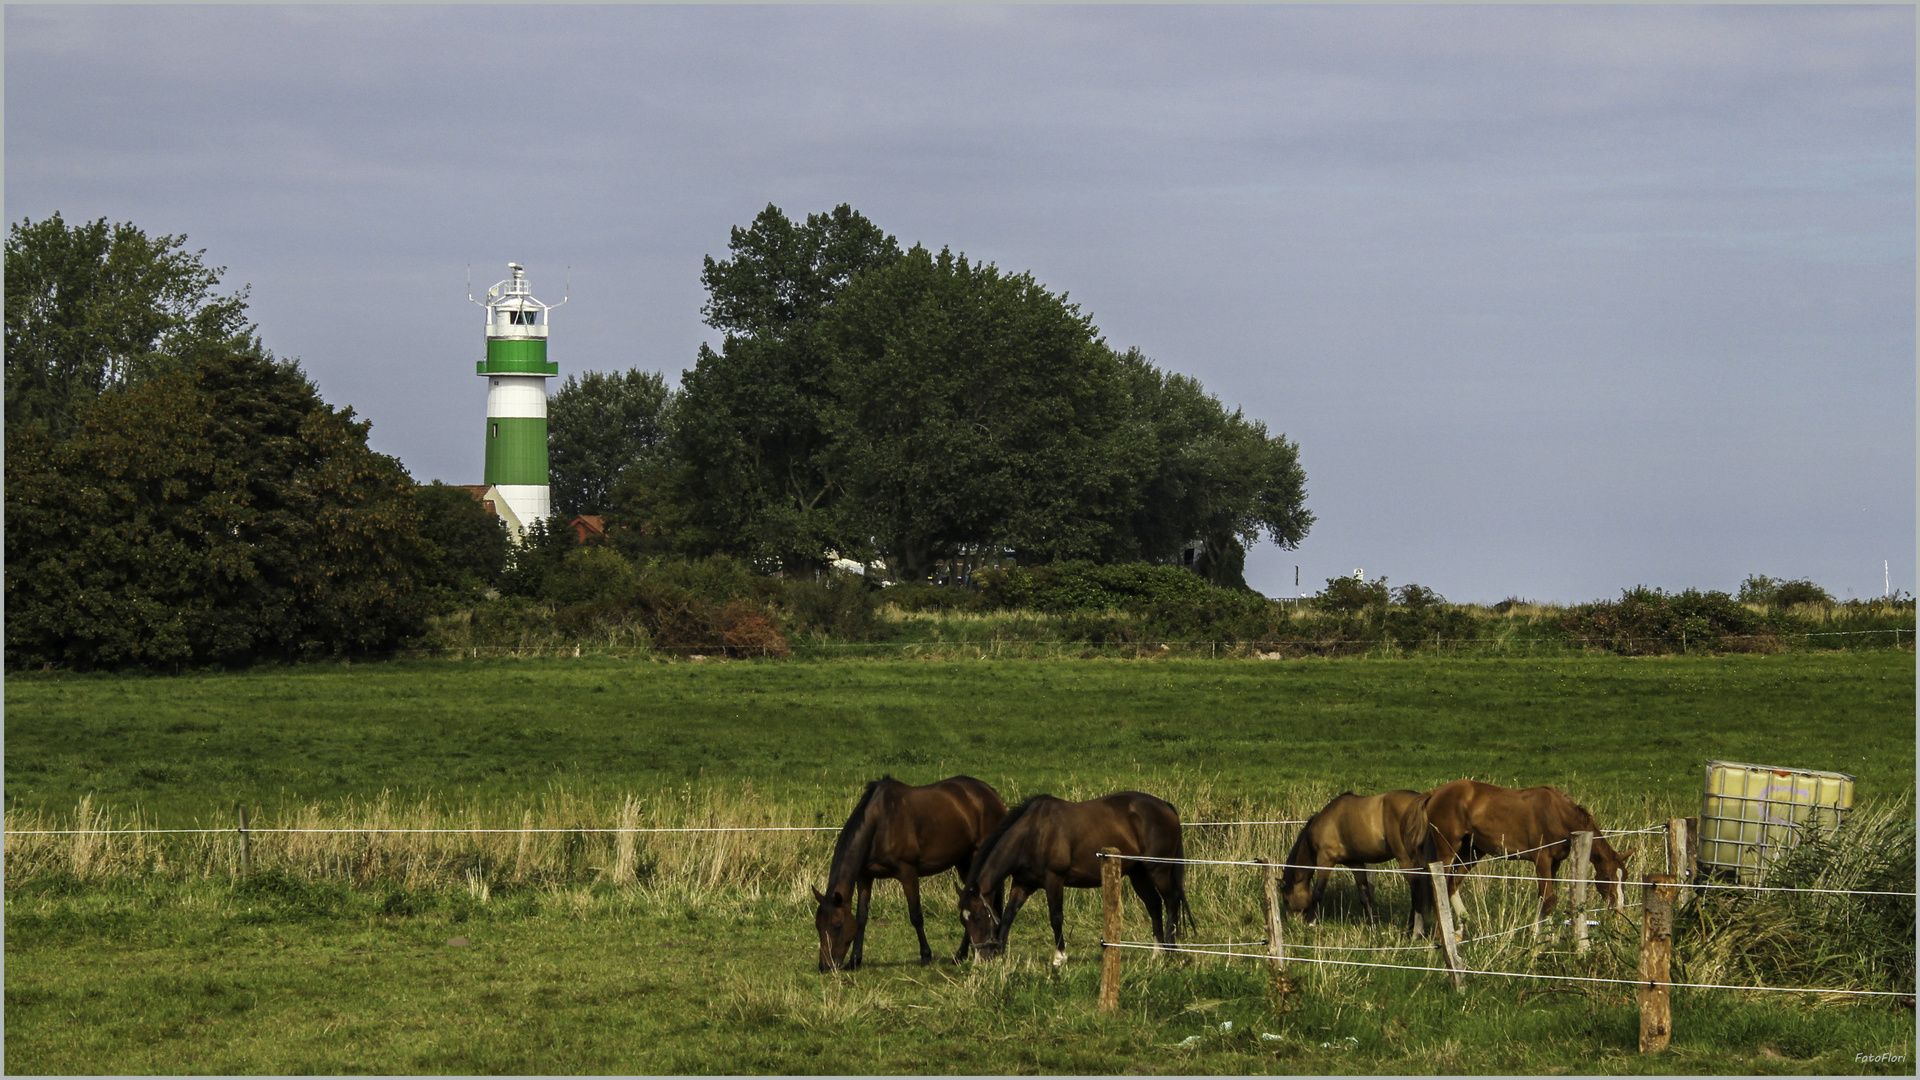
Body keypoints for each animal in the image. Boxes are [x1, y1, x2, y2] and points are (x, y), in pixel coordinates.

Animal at [810, 768, 1006, 972]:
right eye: (818, 926)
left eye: (838, 925)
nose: (825, 966)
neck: (881, 822)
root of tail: (990, 792)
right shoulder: (865, 877)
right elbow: (861, 917)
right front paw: (855, 960)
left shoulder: (908, 873)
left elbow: (916, 915)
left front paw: (926, 956)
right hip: (963, 861)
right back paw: (962, 955)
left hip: (977, 854)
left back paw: (964, 954)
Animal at [956, 787, 1182, 960]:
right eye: (963, 921)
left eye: (978, 917)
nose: (979, 958)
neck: (1033, 834)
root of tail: (1165, 806)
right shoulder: (1023, 883)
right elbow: (1009, 915)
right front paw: (1001, 955)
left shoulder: (1054, 879)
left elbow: (1056, 917)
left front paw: (1060, 957)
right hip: (1139, 874)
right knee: (1154, 905)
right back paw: (1157, 953)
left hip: (1159, 870)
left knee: (1171, 901)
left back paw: (1171, 951)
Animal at [1274, 780, 1428, 926]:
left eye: (1286, 900)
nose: (1292, 922)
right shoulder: (1356, 863)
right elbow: (1364, 895)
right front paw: (1372, 925)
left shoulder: (1325, 860)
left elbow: (1318, 892)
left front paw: (1310, 922)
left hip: (1406, 860)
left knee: (1417, 891)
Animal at [1397, 772, 1635, 933]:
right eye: (1607, 877)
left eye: (1625, 878)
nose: (1619, 909)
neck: (1558, 815)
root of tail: (1435, 793)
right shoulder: (1542, 859)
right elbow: (1549, 899)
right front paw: (1548, 942)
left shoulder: (1554, 863)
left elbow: (1543, 898)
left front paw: (1538, 936)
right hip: (1447, 850)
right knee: (1439, 886)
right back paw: (1442, 935)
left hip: (1471, 852)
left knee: (1451, 885)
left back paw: (1463, 927)